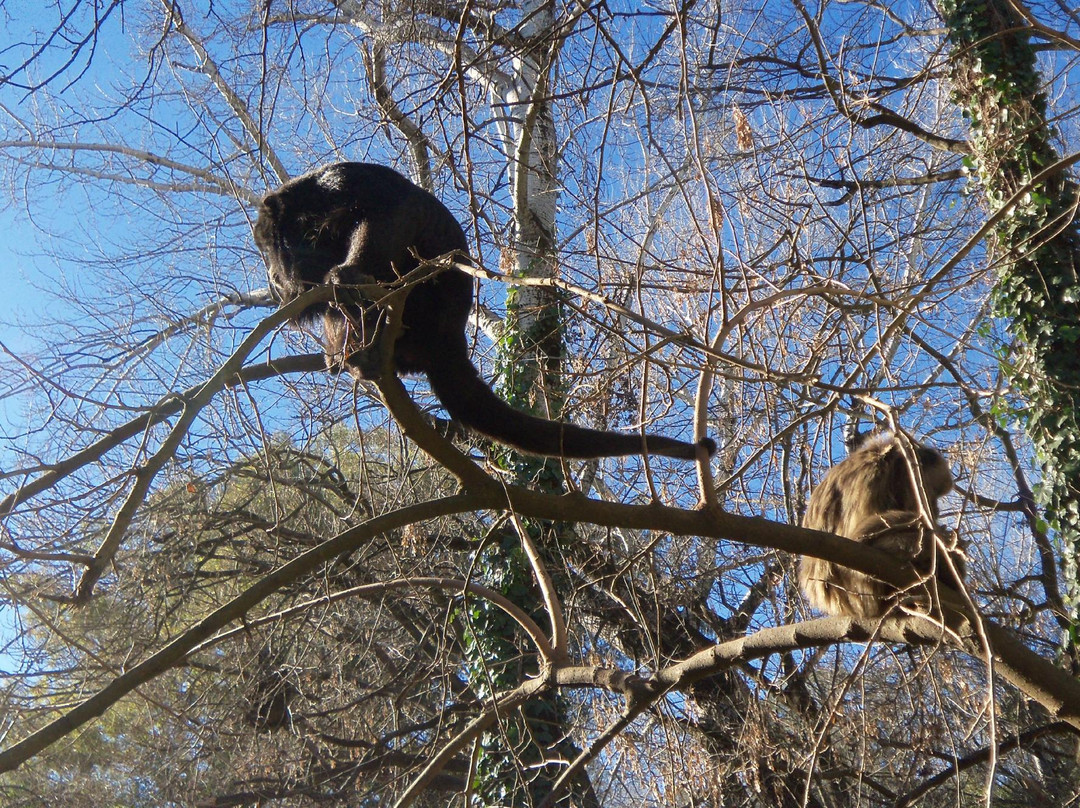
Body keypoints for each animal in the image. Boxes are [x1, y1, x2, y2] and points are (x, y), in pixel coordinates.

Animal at [252, 162, 717, 460]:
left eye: (270, 246)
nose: (274, 279)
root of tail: (449, 339)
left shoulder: (347, 182)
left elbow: (393, 213)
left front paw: (346, 274)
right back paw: (347, 354)